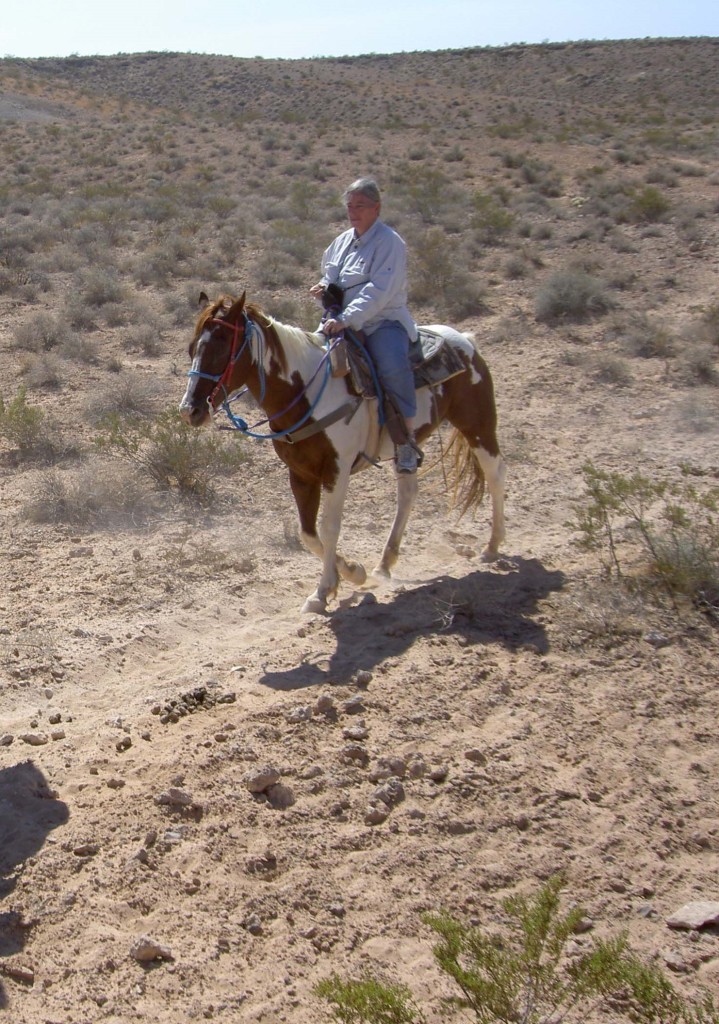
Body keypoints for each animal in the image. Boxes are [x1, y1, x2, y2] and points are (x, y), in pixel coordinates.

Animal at [179, 292, 508, 610]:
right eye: (192, 348)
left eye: (222, 347)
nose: (190, 410)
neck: (307, 394)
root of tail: (465, 339)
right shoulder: (300, 473)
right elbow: (308, 534)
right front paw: (351, 571)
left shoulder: (336, 470)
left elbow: (329, 528)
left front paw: (323, 591)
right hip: (407, 447)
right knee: (407, 493)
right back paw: (384, 564)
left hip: (477, 426)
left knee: (495, 473)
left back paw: (491, 547)